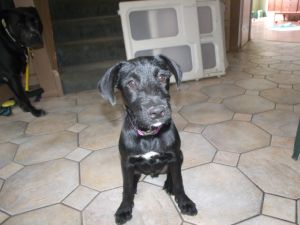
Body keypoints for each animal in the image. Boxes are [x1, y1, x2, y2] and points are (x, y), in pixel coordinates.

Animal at [98, 55, 197, 224]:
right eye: (131, 83)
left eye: (162, 76)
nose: (157, 112)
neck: (149, 135)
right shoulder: (126, 162)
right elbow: (126, 187)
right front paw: (124, 208)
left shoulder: (174, 156)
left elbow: (179, 181)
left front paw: (184, 202)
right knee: (132, 180)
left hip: (180, 155)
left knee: (171, 174)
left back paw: (168, 184)